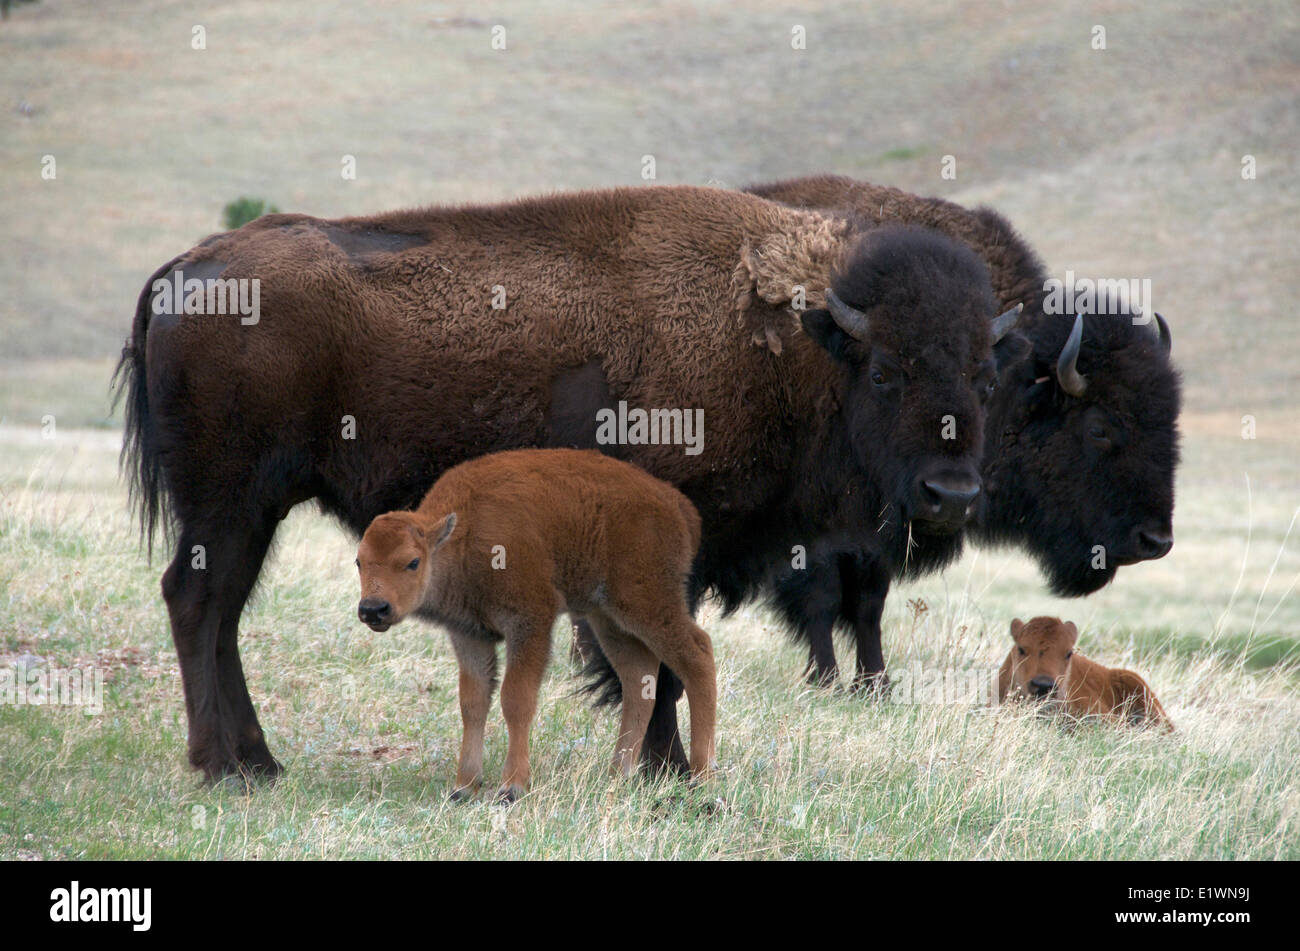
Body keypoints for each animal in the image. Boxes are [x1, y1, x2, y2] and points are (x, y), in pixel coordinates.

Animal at [356, 449, 717, 800]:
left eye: (412, 562)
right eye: (359, 561)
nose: (373, 609)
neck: (462, 535)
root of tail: (678, 506)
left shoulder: (529, 623)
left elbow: (515, 699)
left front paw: (512, 787)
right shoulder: (470, 635)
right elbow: (473, 703)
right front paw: (464, 787)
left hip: (647, 604)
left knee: (698, 655)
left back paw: (702, 777)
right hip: (608, 620)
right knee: (637, 678)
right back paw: (618, 774)